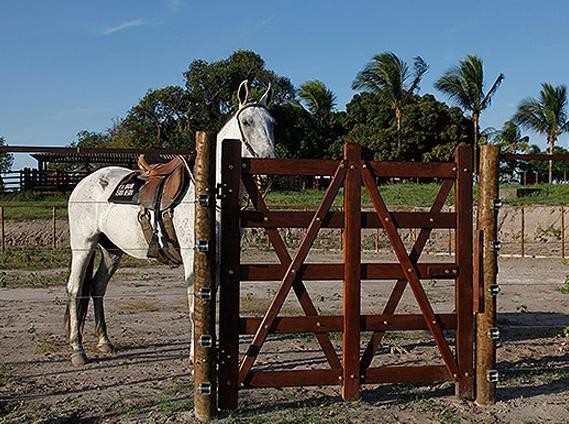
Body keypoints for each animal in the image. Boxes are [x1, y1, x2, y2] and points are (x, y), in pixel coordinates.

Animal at [64, 81, 276, 366]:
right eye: (247, 121)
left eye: (273, 123)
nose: (268, 169)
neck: (209, 193)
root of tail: (83, 182)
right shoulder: (192, 256)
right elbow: (195, 306)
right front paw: (196, 356)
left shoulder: (217, 258)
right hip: (83, 245)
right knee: (75, 289)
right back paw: (77, 350)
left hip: (111, 251)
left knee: (97, 287)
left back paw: (104, 341)